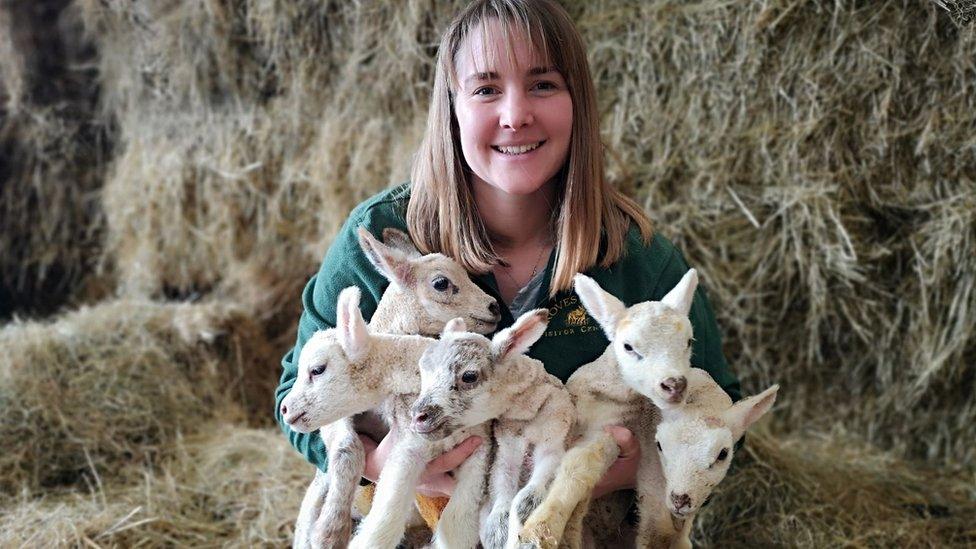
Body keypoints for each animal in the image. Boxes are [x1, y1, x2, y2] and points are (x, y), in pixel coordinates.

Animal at [282, 225, 496, 544]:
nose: (494, 306)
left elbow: (457, 526)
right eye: (441, 283)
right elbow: (348, 452)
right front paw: (331, 531)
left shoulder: (478, 447)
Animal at [520, 270, 700, 548]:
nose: (675, 385)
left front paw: (540, 529)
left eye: (689, 342)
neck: (605, 397)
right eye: (628, 347)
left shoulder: (616, 429)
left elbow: (579, 465)